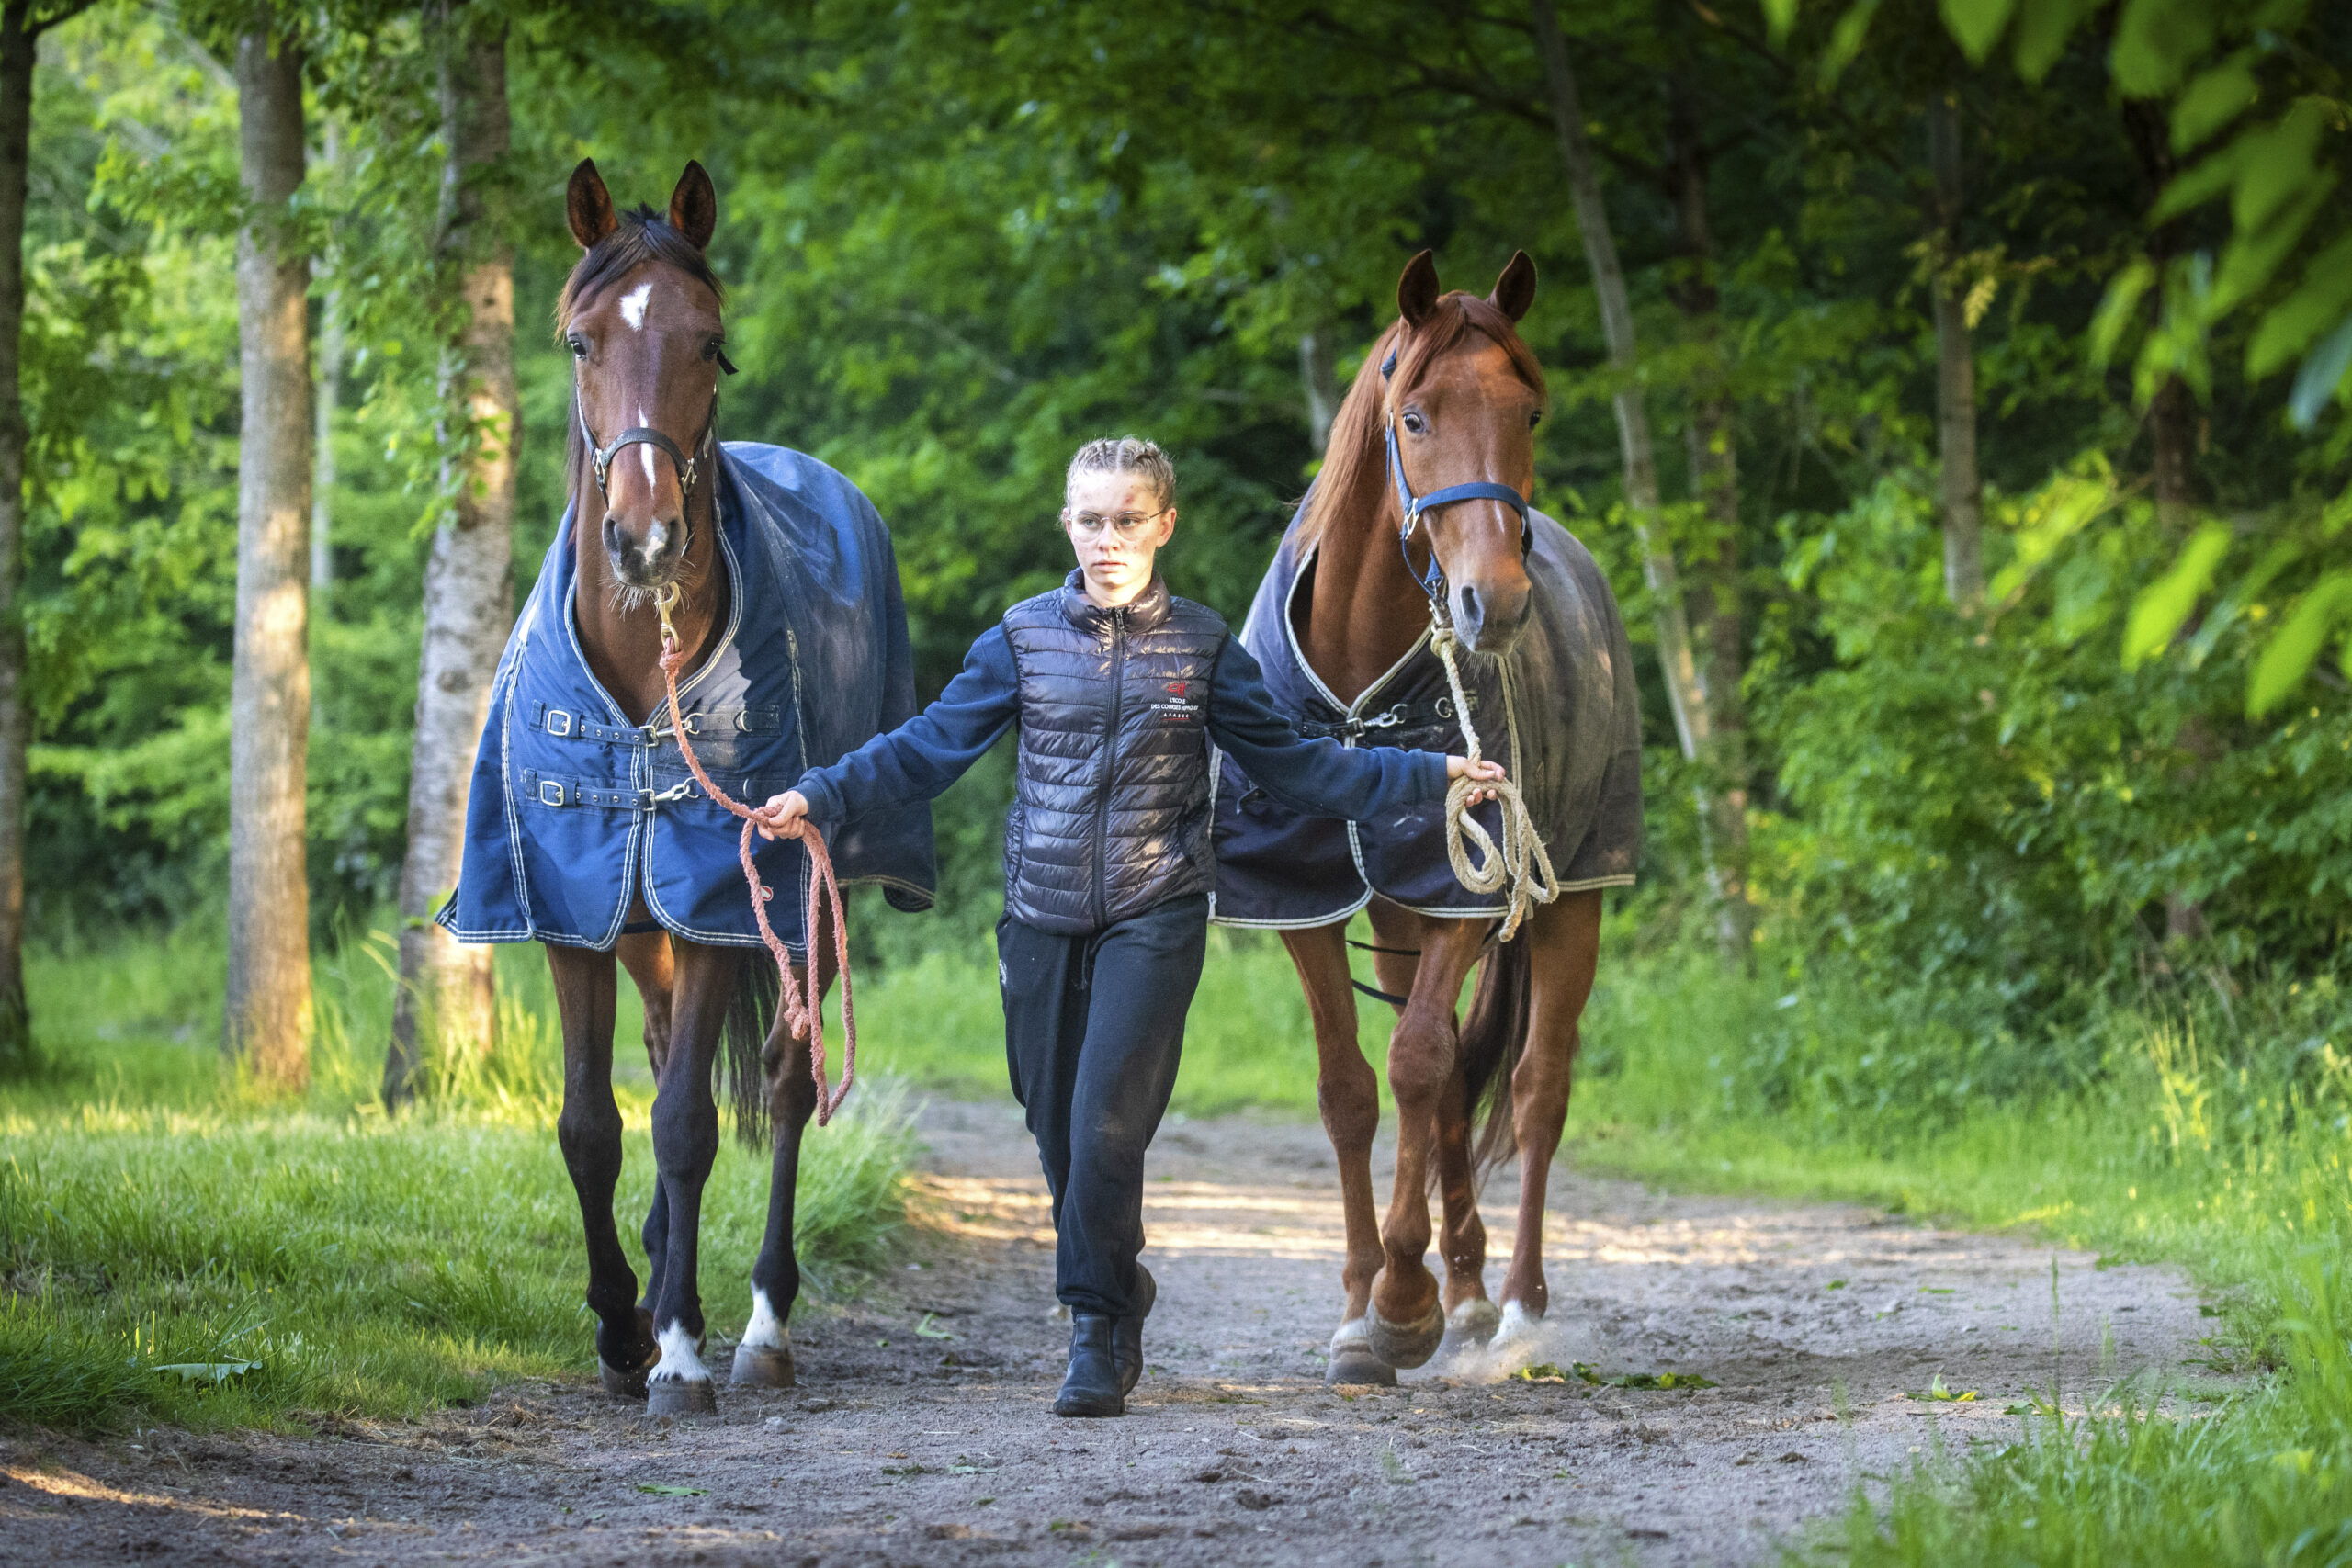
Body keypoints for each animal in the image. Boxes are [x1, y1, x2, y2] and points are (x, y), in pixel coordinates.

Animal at [439, 160, 934, 1415]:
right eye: (578, 340)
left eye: (709, 341)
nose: (647, 540)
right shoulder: (566, 912)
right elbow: (590, 1126)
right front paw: (622, 1325)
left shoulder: (723, 910)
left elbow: (685, 1125)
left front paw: (677, 1345)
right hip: (643, 927)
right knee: (670, 1057)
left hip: (806, 906)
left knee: (786, 1084)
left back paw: (756, 1321)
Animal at [1211, 250, 1643, 1383]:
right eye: (1413, 416)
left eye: (1529, 410)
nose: (1496, 601)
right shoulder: (1304, 903)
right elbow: (1353, 1089)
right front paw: (1364, 1305)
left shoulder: (1461, 889)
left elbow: (1417, 1067)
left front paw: (1400, 1307)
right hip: (1400, 918)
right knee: (1448, 1082)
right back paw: (1466, 1290)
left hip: (1575, 892)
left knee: (1534, 1090)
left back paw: (1517, 1302)